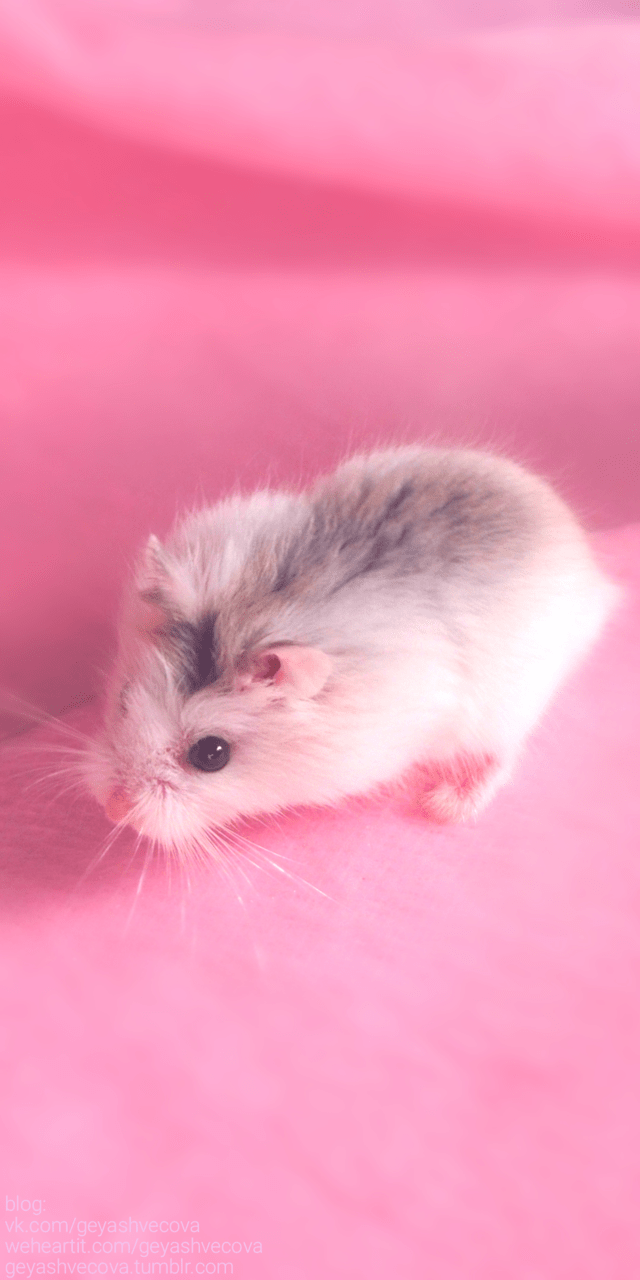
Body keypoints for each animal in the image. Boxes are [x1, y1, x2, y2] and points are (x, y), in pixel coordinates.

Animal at [86, 447, 619, 855]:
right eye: (123, 700)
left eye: (211, 755)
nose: (112, 809)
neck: (253, 612)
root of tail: (590, 575)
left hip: (505, 708)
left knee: (504, 756)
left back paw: (444, 806)